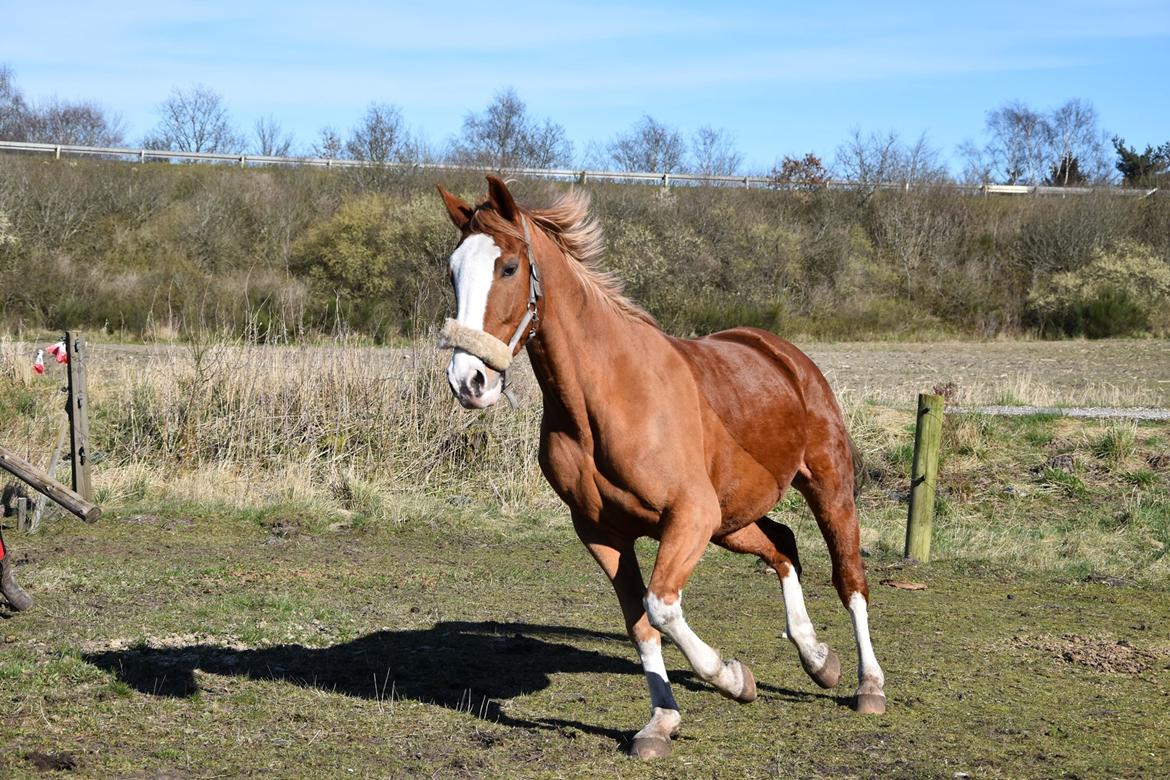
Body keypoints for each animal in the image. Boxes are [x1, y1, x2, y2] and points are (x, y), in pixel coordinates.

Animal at [437, 178, 884, 762]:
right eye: (452, 270)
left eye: (509, 267)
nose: (469, 381)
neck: (606, 399)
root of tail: (783, 353)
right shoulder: (603, 532)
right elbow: (640, 623)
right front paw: (661, 722)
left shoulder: (688, 515)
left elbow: (662, 606)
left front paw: (733, 677)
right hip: (732, 520)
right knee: (783, 546)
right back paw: (817, 660)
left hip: (825, 488)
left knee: (849, 578)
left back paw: (867, 685)